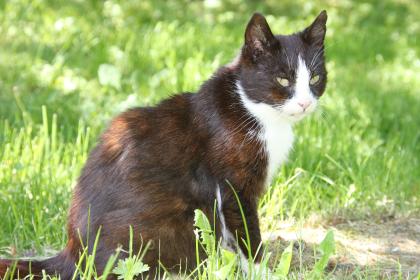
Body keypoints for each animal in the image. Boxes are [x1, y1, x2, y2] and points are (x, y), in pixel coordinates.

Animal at [0, 10, 328, 278]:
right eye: (283, 80)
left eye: (314, 77)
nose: (305, 103)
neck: (255, 110)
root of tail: (73, 252)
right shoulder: (233, 187)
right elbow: (246, 232)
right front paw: (262, 272)